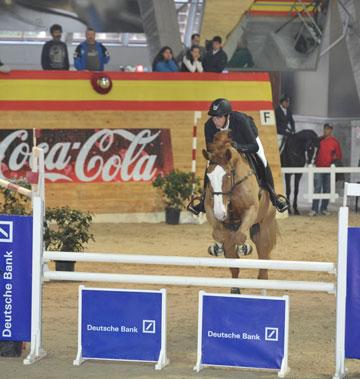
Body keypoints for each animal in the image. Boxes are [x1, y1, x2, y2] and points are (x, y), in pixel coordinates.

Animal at [202, 131, 276, 294]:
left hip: (263, 227)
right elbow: (219, 235)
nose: (220, 213)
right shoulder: (212, 211)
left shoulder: (251, 209)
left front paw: (244, 247)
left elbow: (241, 236)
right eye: (208, 177)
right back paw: (235, 289)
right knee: (234, 265)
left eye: (228, 175)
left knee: (263, 264)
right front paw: (217, 247)